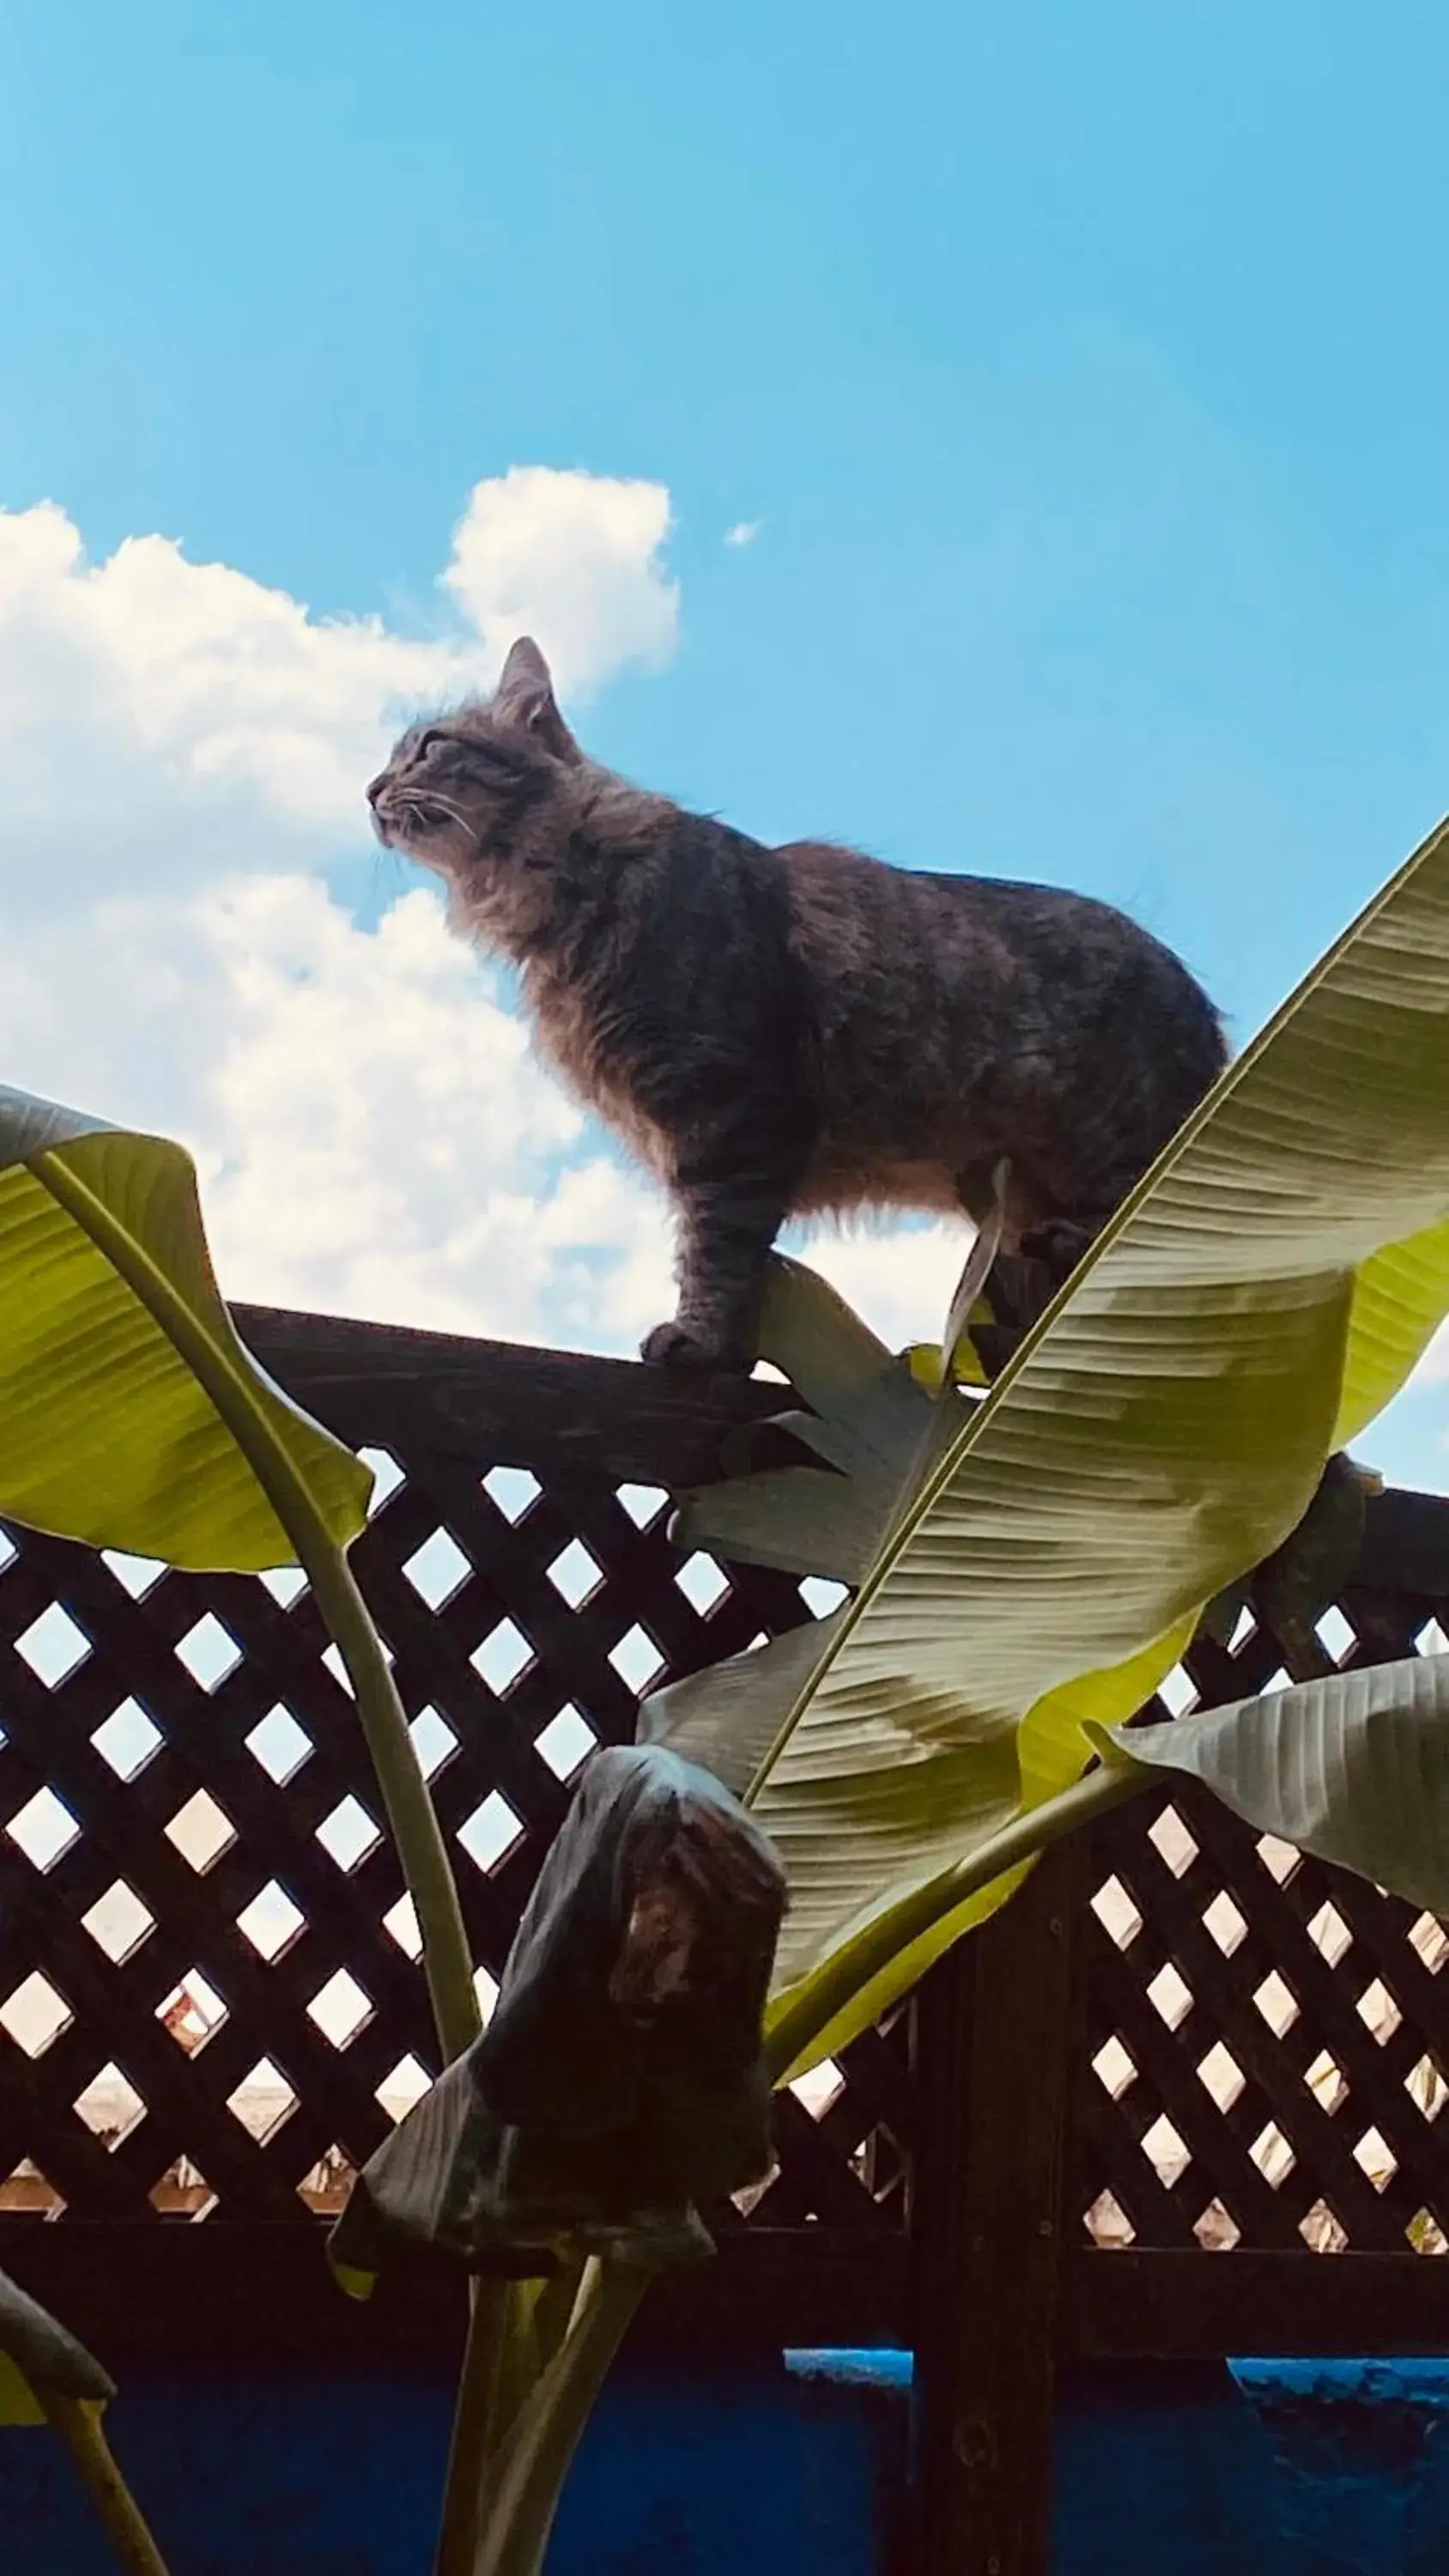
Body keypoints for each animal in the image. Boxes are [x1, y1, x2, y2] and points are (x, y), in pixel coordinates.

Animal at [367, 641, 1230, 1370]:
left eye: (430, 746)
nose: (371, 790)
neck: (559, 892)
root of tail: (1205, 1014)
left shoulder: (732, 1116)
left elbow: (715, 1251)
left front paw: (703, 1343)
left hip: (1127, 1154)